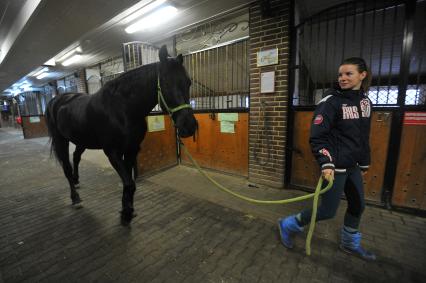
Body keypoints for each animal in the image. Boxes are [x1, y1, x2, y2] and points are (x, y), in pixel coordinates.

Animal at [45, 45, 197, 225]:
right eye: (166, 83)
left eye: (188, 82)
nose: (189, 126)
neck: (122, 109)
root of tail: (57, 100)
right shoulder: (113, 152)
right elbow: (129, 183)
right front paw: (126, 214)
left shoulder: (132, 149)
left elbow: (129, 183)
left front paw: (127, 210)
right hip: (61, 140)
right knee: (67, 167)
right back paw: (75, 199)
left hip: (81, 140)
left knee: (75, 157)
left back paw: (76, 181)